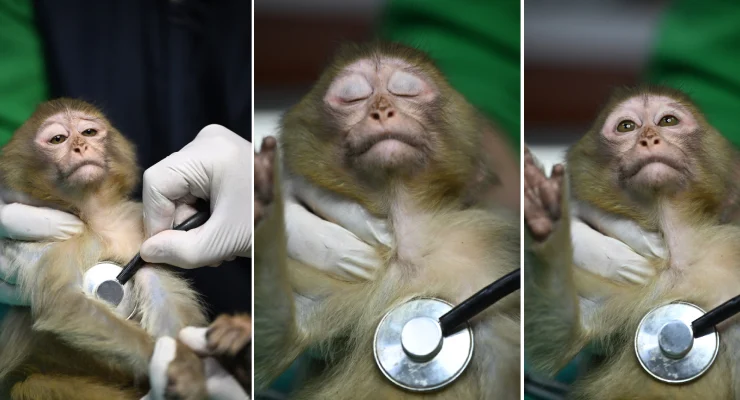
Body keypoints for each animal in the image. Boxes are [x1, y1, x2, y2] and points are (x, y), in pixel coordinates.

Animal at [0, 99, 211, 400]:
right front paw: (173, 365)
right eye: (58, 139)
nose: (80, 146)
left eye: (88, 132)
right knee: (28, 385)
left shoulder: (139, 231)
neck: (97, 217)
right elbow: (65, 303)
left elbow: (156, 283)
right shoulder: (58, 242)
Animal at [524, 85, 740, 400]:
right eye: (627, 126)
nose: (648, 139)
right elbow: (555, 335)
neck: (678, 256)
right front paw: (546, 223)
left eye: (668, 121)